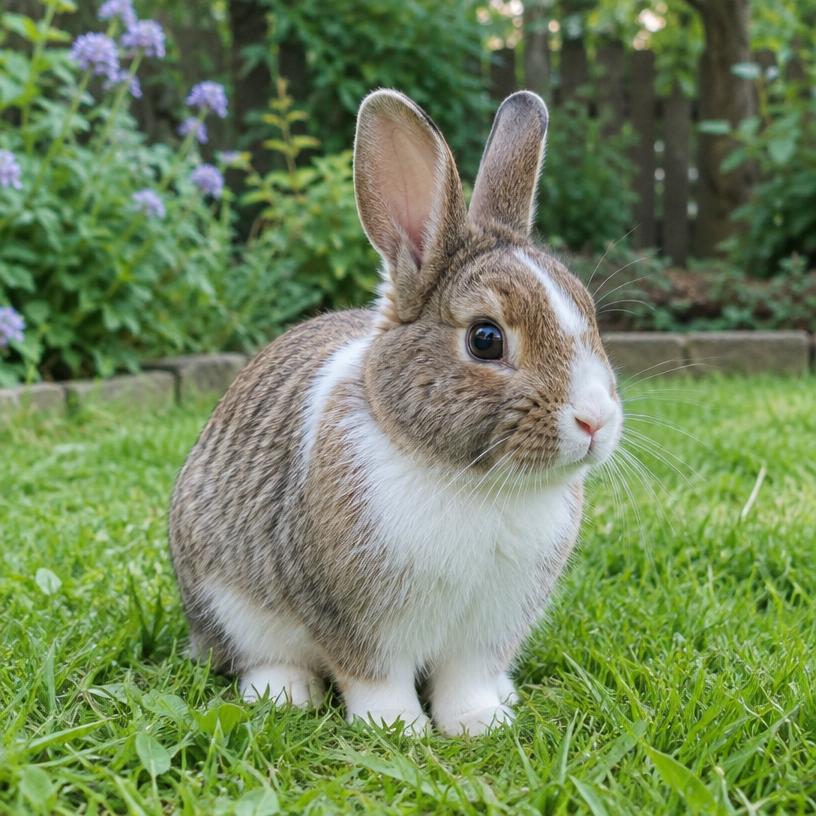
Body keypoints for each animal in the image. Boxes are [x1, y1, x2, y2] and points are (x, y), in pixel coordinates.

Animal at [169, 88, 623, 736]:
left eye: (587, 312)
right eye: (486, 339)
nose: (594, 421)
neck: (471, 482)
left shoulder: (486, 631)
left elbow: (467, 680)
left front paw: (480, 723)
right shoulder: (355, 620)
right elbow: (373, 677)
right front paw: (396, 729)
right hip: (227, 601)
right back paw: (285, 693)